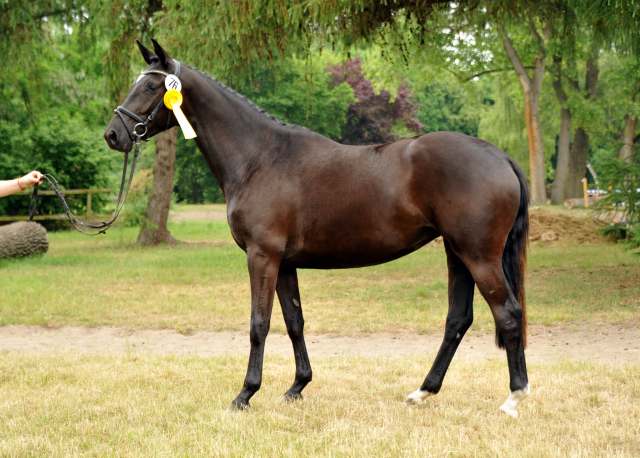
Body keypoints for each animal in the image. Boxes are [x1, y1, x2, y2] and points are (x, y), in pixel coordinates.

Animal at [105, 40, 528, 418]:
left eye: (150, 86)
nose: (113, 134)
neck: (259, 158)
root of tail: (501, 156)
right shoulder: (285, 263)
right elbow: (294, 322)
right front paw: (297, 387)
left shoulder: (262, 257)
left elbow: (259, 324)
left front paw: (245, 395)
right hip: (456, 253)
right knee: (458, 319)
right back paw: (423, 392)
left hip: (478, 255)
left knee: (508, 313)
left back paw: (513, 399)